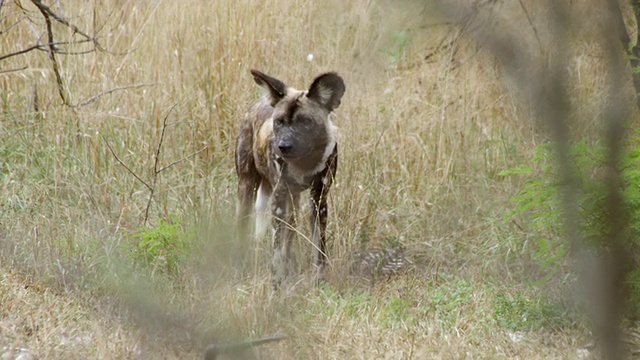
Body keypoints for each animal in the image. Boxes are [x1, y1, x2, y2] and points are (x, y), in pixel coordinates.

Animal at [234, 69, 344, 286]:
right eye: (279, 122)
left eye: (307, 122)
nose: (284, 146)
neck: (304, 163)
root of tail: (259, 102)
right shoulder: (278, 198)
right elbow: (276, 247)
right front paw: (276, 281)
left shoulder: (319, 200)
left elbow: (318, 247)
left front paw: (319, 280)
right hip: (247, 188)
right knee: (244, 224)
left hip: (293, 202)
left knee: (289, 236)